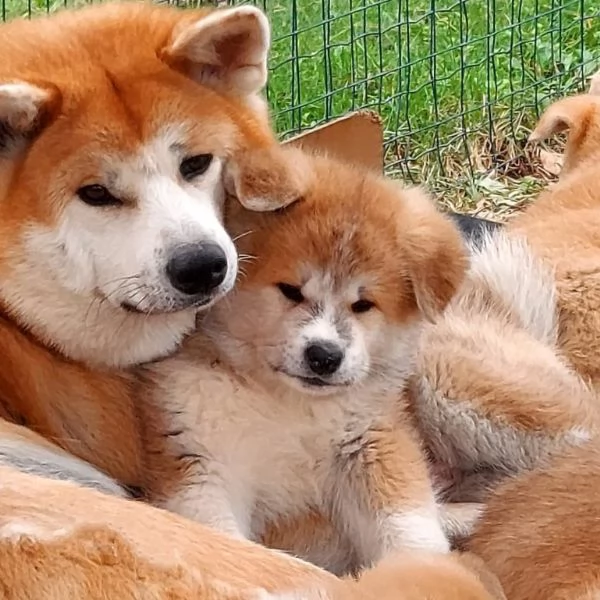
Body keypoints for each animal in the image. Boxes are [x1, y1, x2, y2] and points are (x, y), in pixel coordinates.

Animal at [138, 144, 466, 572]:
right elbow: (218, 538)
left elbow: (408, 526)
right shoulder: (200, 458)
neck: (288, 406)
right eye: (290, 290)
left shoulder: (372, 443)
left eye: (364, 304)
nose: (324, 355)